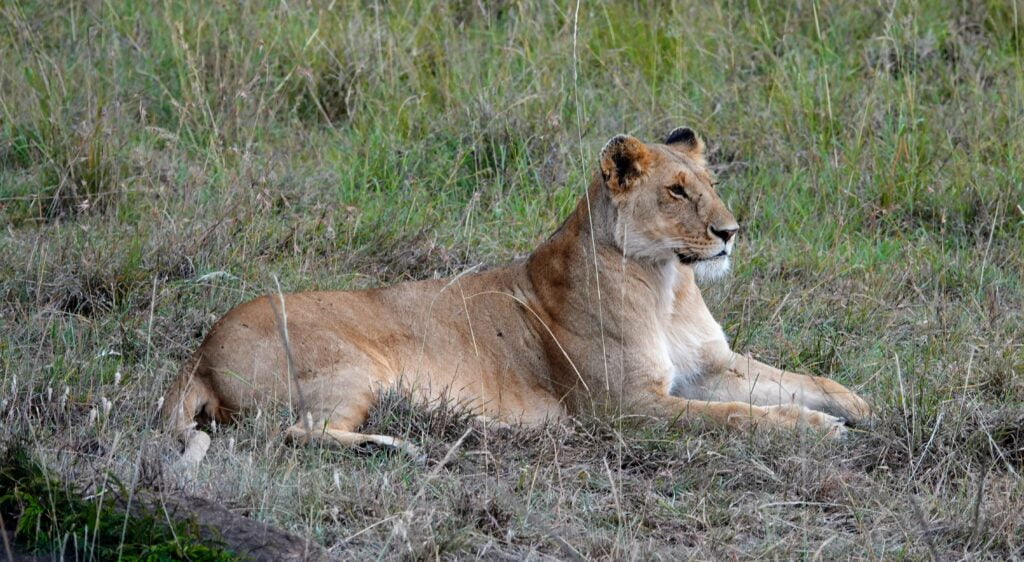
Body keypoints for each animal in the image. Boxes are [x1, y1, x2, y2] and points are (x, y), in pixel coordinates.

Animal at [161, 127, 872, 464]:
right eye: (676, 191)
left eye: (711, 185)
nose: (730, 233)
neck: (668, 283)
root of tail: (201, 348)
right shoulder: (625, 409)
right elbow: (735, 417)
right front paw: (813, 429)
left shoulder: (710, 367)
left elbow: (796, 380)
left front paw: (857, 405)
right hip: (352, 370)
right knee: (290, 434)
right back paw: (399, 446)